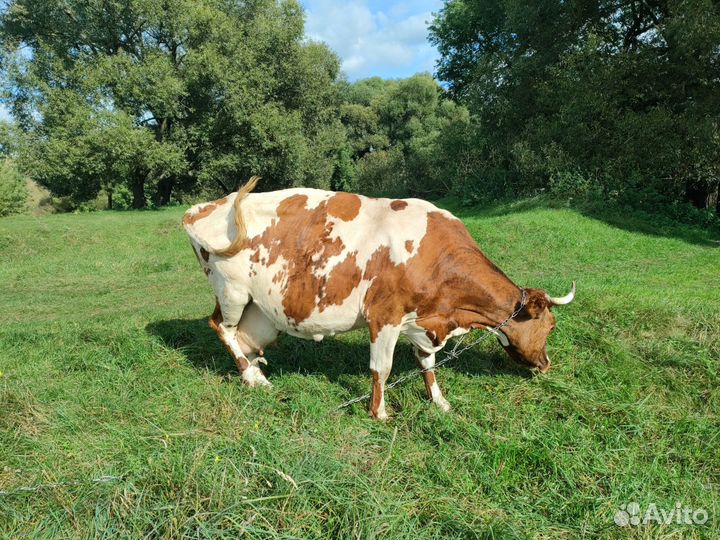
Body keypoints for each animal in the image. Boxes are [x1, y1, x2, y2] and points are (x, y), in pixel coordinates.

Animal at [182, 177, 576, 419]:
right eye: (550, 326)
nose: (546, 365)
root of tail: (203, 207)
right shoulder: (385, 316)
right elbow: (381, 369)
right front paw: (380, 413)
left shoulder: (420, 321)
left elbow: (427, 365)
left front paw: (440, 402)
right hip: (232, 292)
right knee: (222, 328)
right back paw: (253, 377)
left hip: (260, 311)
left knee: (242, 338)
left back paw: (255, 370)